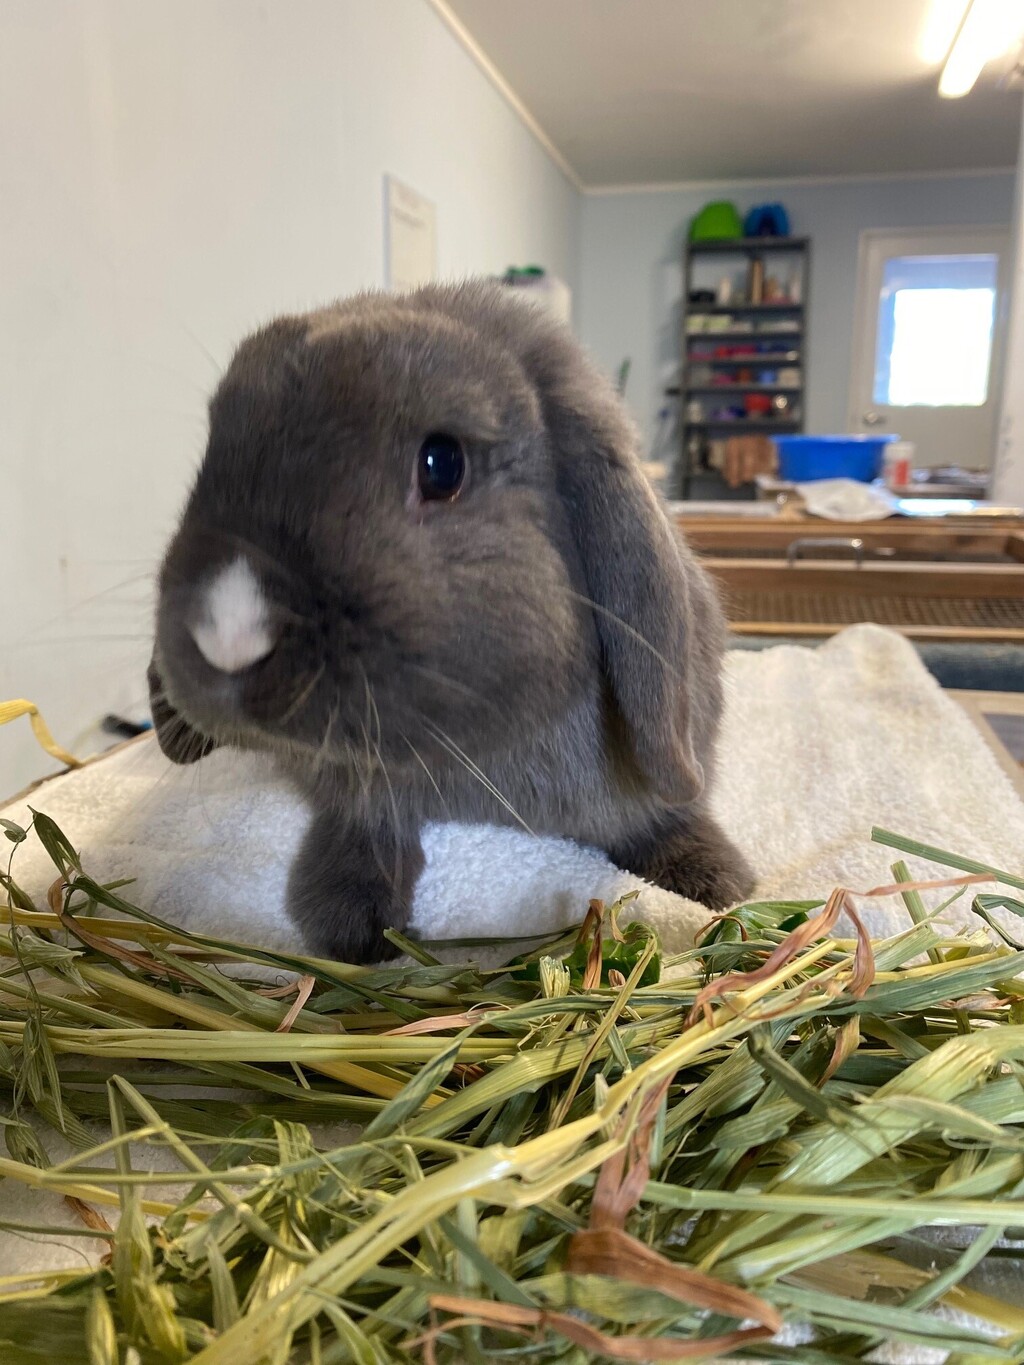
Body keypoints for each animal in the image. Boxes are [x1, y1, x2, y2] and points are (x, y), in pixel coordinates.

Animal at [148, 280, 754, 963]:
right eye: (213, 450)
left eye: (442, 464)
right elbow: (366, 821)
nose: (227, 634)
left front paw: (717, 883)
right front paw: (352, 925)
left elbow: (657, 817)